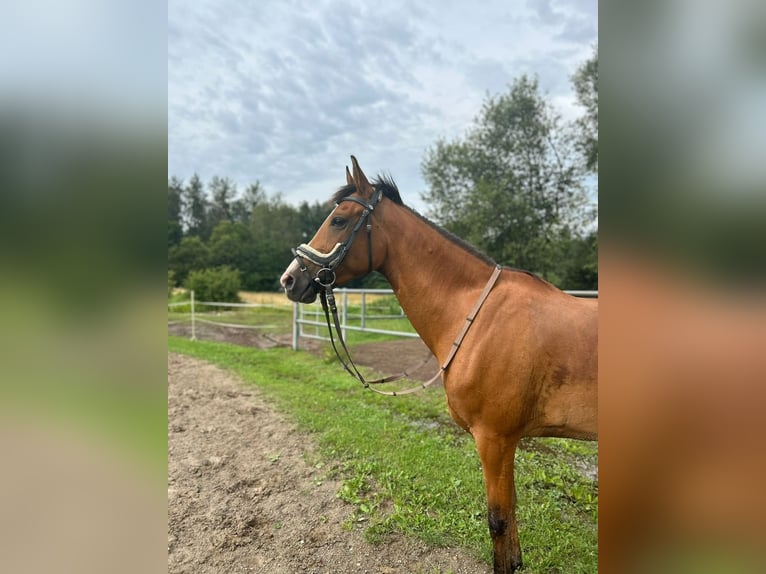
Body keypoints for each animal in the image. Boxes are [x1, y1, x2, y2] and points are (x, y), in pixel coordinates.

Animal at [282, 158, 600, 574]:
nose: (289, 279)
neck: (476, 316)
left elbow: (499, 521)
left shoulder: (494, 440)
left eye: (338, 220)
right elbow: (511, 520)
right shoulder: (506, 442)